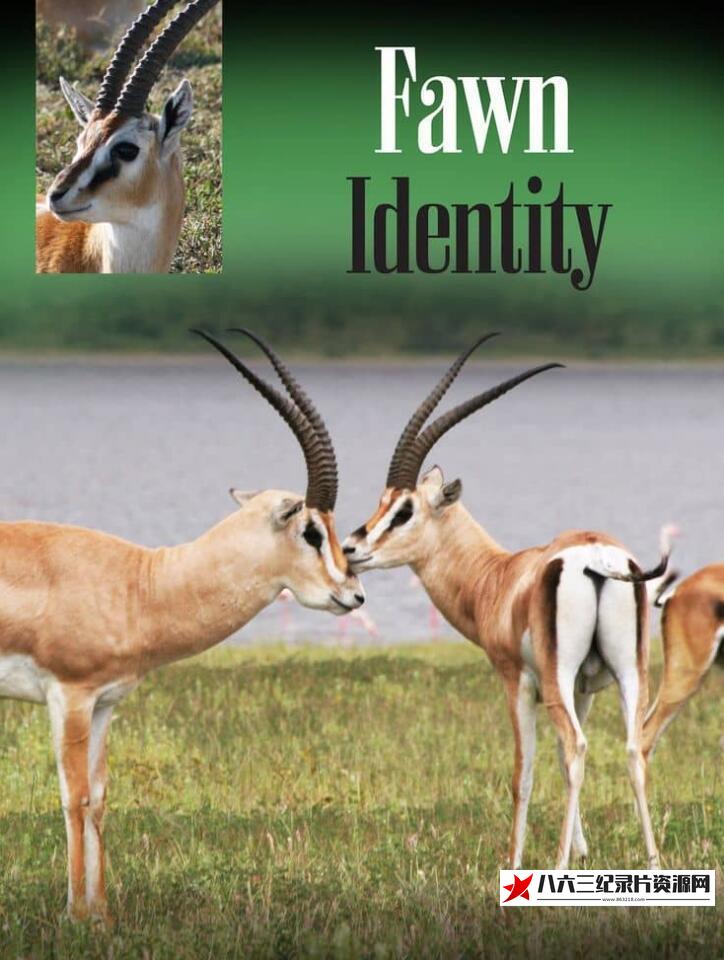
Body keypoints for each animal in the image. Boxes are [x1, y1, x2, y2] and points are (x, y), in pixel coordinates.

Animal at [0, 328, 364, 923]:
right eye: (311, 530)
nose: (354, 594)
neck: (139, 584)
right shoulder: (69, 695)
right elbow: (74, 797)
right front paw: (75, 917)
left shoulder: (105, 702)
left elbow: (99, 798)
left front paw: (101, 917)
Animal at [342, 334, 671, 870]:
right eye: (383, 501)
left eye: (404, 510)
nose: (351, 548)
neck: (497, 579)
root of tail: (598, 556)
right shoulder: (583, 687)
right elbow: (560, 759)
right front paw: (582, 849)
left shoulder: (517, 682)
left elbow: (525, 772)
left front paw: (515, 860)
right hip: (630, 672)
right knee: (632, 749)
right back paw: (654, 864)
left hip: (560, 679)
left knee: (578, 747)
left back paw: (555, 869)